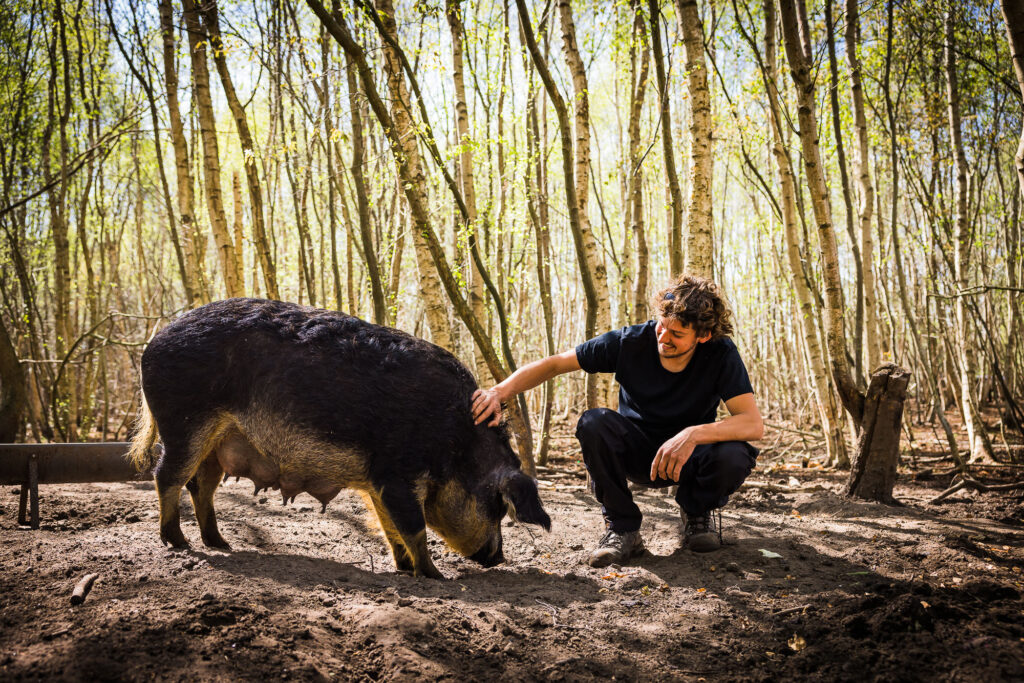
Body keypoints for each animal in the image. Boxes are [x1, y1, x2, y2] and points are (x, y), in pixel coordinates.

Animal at [128, 296, 552, 577]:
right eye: (496, 507)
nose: (498, 558)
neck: (457, 445)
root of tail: (152, 343)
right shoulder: (396, 474)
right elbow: (412, 526)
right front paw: (435, 576)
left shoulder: (378, 482)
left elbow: (389, 527)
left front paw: (404, 570)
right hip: (184, 423)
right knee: (167, 476)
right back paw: (178, 542)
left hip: (219, 443)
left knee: (201, 486)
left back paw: (220, 543)